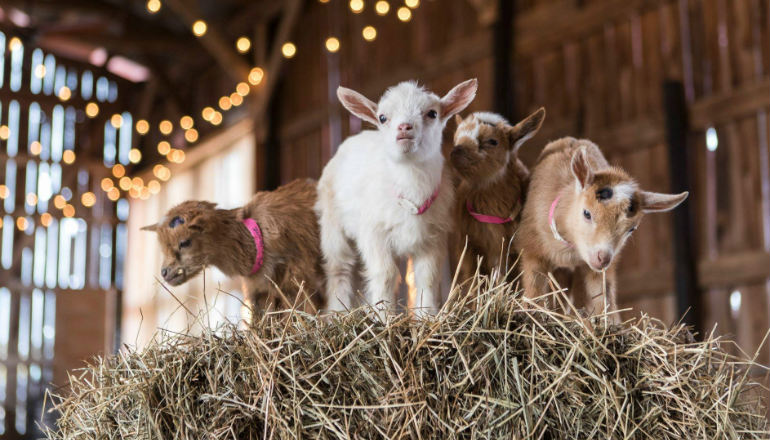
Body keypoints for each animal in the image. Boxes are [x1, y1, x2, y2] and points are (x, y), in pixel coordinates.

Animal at [516, 139, 684, 318]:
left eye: (631, 229)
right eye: (587, 213)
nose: (602, 258)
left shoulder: (600, 270)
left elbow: (604, 297)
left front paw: (608, 322)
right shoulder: (532, 249)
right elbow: (535, 288)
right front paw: (532, 313)